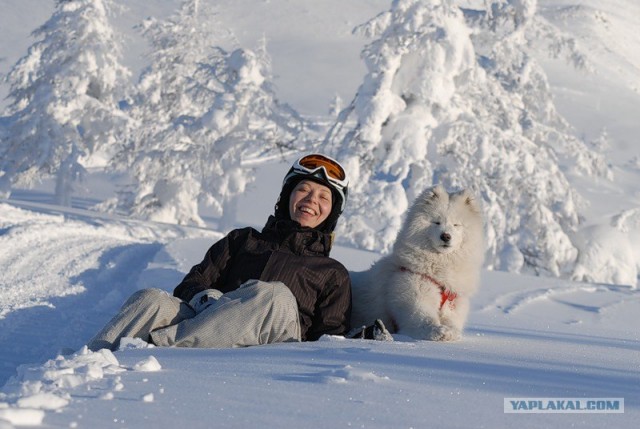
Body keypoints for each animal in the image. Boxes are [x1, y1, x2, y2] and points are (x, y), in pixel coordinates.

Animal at [350, 184, 484, 342]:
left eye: (456, 224)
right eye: (436, 222)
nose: (445, 236)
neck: (440, 270)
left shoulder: (454, 306)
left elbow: (453, 324)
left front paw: (451, 333)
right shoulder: (414, 297)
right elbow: (423, 318)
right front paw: (439, 331)